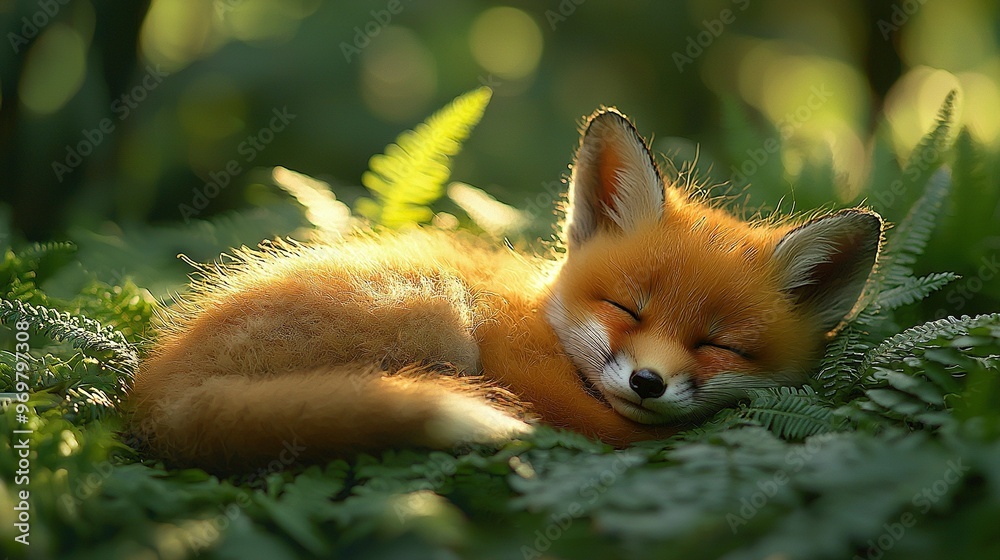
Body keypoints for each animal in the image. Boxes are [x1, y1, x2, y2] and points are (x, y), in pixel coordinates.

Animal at [128, 108, 882, 472]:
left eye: (718, 345)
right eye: (626, 308)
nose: (647, 383)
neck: (541, 318)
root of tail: (157, 390)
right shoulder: (523, 375)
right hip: (433, 310)